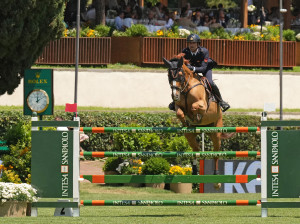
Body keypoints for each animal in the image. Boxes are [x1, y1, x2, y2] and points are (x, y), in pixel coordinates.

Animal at [163, 56, 233, 189]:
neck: (185, 88)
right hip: (190, 136)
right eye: (169, 75)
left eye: (180, 75)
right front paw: (186, 121)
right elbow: (179, 112)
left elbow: (195, 107)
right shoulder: (178, 106)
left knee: (216, 152)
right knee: (196, 150)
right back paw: (195, 172)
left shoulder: (202, 104)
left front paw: (195, 116)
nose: (174, 96)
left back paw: (216, 178)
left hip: (216, 133)